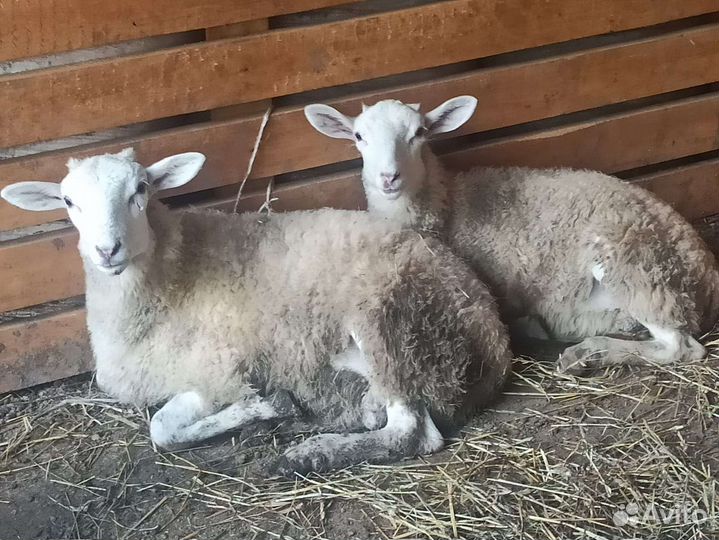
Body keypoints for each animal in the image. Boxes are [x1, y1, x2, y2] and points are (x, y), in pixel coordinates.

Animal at [1, 148, 511, 475]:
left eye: (140, 189)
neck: (171, 275)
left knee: (413, 433)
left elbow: (161, 430)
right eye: (69, 201)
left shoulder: (215, 370)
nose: (108, 250)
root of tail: (493, 329)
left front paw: (261, 407)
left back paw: (312, 453)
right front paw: (269, 408)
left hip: (390, 325)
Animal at [305, 97, 719, 374]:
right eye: (359, 136)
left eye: (419, 133)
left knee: (681, 347)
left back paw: (590, 353)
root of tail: (705, 268)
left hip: (635, 264)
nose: (388, 177)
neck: (448, 205)